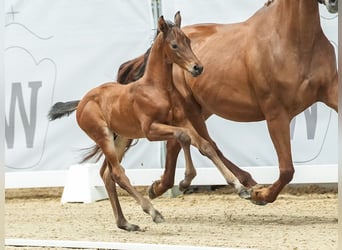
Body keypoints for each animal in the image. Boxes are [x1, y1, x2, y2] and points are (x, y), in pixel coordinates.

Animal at [48, 13, 248, 230]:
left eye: (188, 41)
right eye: (174, 45)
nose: (198, 67)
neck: (157, 88)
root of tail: (82, 101)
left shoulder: (182, 121)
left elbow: (204, 145)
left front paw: (239, 187)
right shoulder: (150, 130)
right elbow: (183, 136)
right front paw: (184, 181)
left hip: (121, 138)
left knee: (107, 174)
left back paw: (125, 223)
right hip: (103, 136)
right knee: (117, 173)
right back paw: (152, 212)